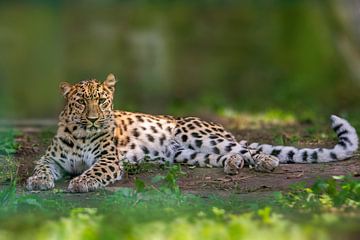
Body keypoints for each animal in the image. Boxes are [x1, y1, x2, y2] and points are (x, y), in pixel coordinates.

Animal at [24, 74, 358, 192]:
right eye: (81, 101)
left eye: (102, 101)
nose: (94, 119)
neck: (82, 134)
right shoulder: (51, 158)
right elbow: (41, 168)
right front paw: (37, 182)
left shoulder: (108, 160)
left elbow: (92, 171)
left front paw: (81, 182)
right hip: (187, 154)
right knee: (227, 156)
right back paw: (233, 166)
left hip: (195, 136)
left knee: (247, 149)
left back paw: (265, 162)